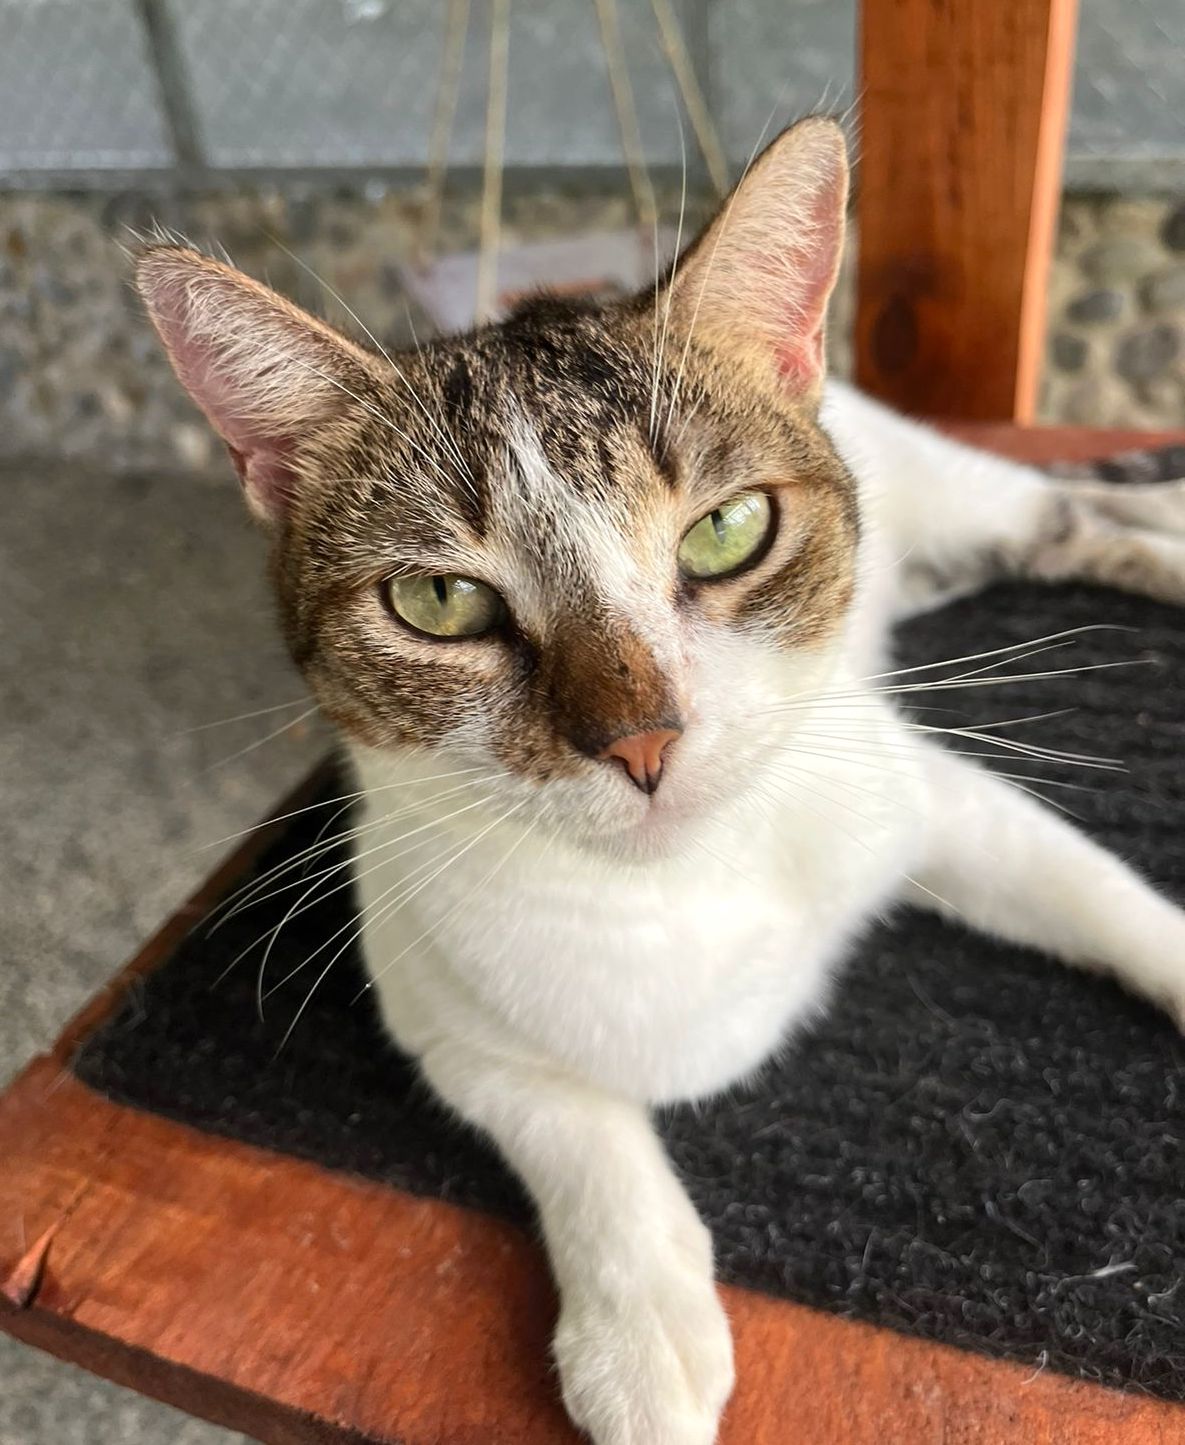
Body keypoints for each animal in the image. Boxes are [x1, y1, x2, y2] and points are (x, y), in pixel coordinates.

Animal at [134, 121, 1185, 1445]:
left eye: (726, 531)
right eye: (440, 600)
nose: (640, 738)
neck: (683, 888)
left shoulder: (925, 793)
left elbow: (1105, 895)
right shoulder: (442, 1013)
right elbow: (571, 1125)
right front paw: (640, 1326)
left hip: (957, 494)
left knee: (1069, 506)